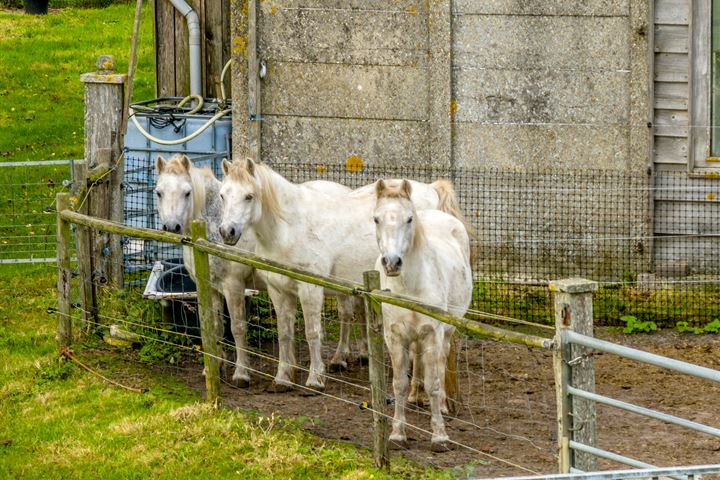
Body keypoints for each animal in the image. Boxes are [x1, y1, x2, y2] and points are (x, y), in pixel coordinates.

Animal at [154, 154, 358, 386]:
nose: (171, 227)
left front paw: (241, 373)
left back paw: (339, 358)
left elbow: (237, 328)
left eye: (187, 192)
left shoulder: (233, 286)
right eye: (159, 192)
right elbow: (215, 327)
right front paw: (214, 367)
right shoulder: (209, 286)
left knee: (345, 314)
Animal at [218, 159, 466, 392]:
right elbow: (285, 333)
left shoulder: (310, 290)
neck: (289, 228)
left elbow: (312, 332)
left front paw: (315, 380)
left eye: (249, 196)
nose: (227, 231)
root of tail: (431, 189)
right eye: (222, 195)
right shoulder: (278, 290)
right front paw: (282, 379)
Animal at [372, 178, 472, 452]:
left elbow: (434, 383)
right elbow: (399, 384)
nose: (392, 262)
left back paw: (443, 405)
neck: (410, 286)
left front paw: (439, 436)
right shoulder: (395, 336)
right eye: (376, 219)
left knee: (440, 363)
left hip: (445, 332)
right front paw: (397, 434)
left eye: (409, 219)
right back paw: (416, 397)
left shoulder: (431, 334)